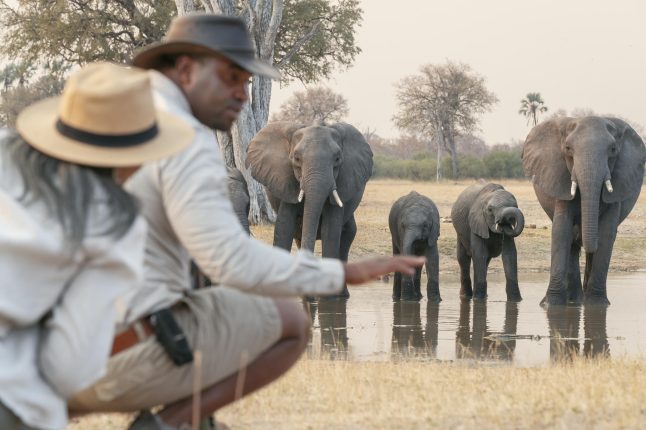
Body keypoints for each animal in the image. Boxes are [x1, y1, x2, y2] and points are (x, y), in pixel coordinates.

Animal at [247, 121, 374, 296]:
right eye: (297, 158)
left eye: (337, 159)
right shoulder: (286, 181)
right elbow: (284, 227)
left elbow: (331, 230)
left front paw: (329, 299)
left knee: (348, 235)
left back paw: (342, 295)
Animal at [528, 116, 646, 306]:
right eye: (568, 148)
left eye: (613, 149)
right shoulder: (561, 177)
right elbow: (561, 230)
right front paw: (550, 305)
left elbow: (606, 233)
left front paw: (597, 305)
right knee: (571, 244)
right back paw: (574, 301)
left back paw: (580, 301)